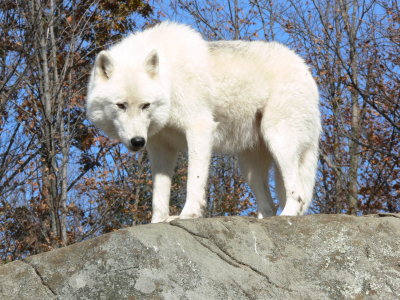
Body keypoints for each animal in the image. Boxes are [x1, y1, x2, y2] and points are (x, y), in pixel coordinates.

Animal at [86, 21, 320, 223]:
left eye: (145, 105)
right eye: (121, 105)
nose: (137, 142)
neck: (170, 79)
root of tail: (306, 70)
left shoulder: (199, 128)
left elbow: (194, 179)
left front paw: (188, 214)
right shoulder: (159, 146)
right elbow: (159, 193)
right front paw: (158, 221)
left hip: (279, 140)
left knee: (298, 193)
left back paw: (287, 216)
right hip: (248, 165)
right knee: (269, 206)